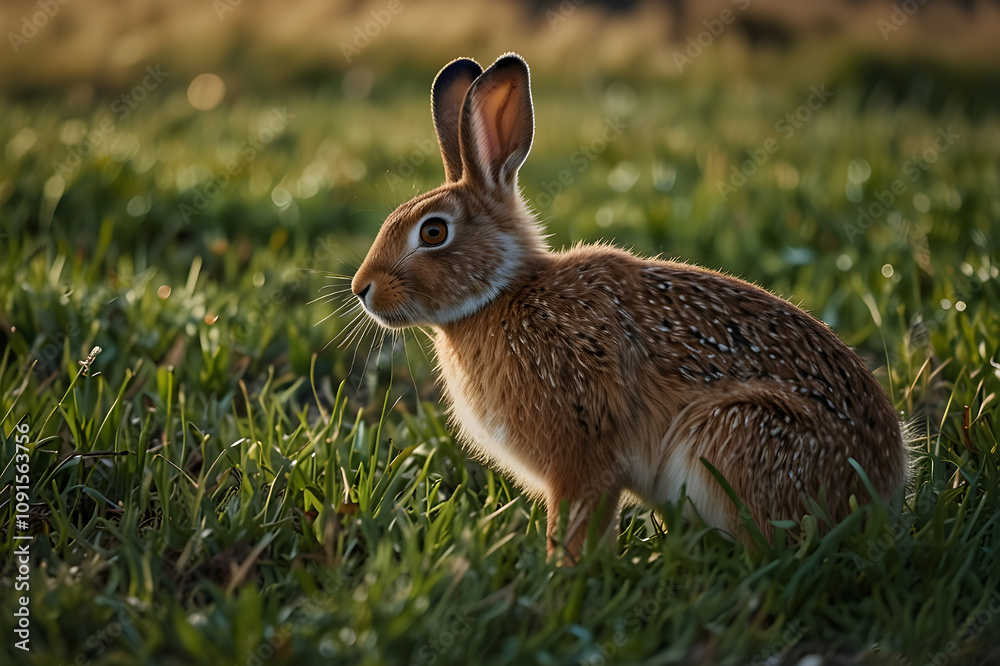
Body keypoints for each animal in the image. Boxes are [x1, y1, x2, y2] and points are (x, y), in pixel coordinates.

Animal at [350, 53, 909, 562]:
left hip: (735, 433)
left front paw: (564, 573)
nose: (362, 289)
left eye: (434, 232)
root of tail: (883, 486)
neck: (504, 293)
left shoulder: (582, 455)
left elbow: (578, 520)